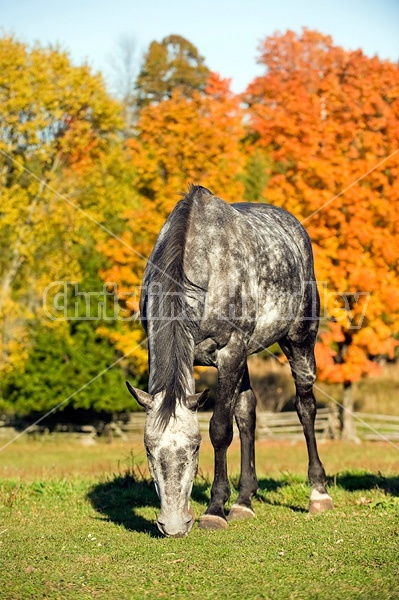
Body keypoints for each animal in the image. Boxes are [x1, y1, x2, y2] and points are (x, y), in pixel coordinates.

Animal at [128, 185, 334, 536]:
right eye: (148, 450)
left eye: (195, 448)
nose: (174, 526)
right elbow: (239, 418)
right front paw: (230, 503)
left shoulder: (230, 351)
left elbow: (220, 429)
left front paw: (214, 510)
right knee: (248, 412)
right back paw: (243, 501)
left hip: (299, 340)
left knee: (306, 407)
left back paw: (318, 494)